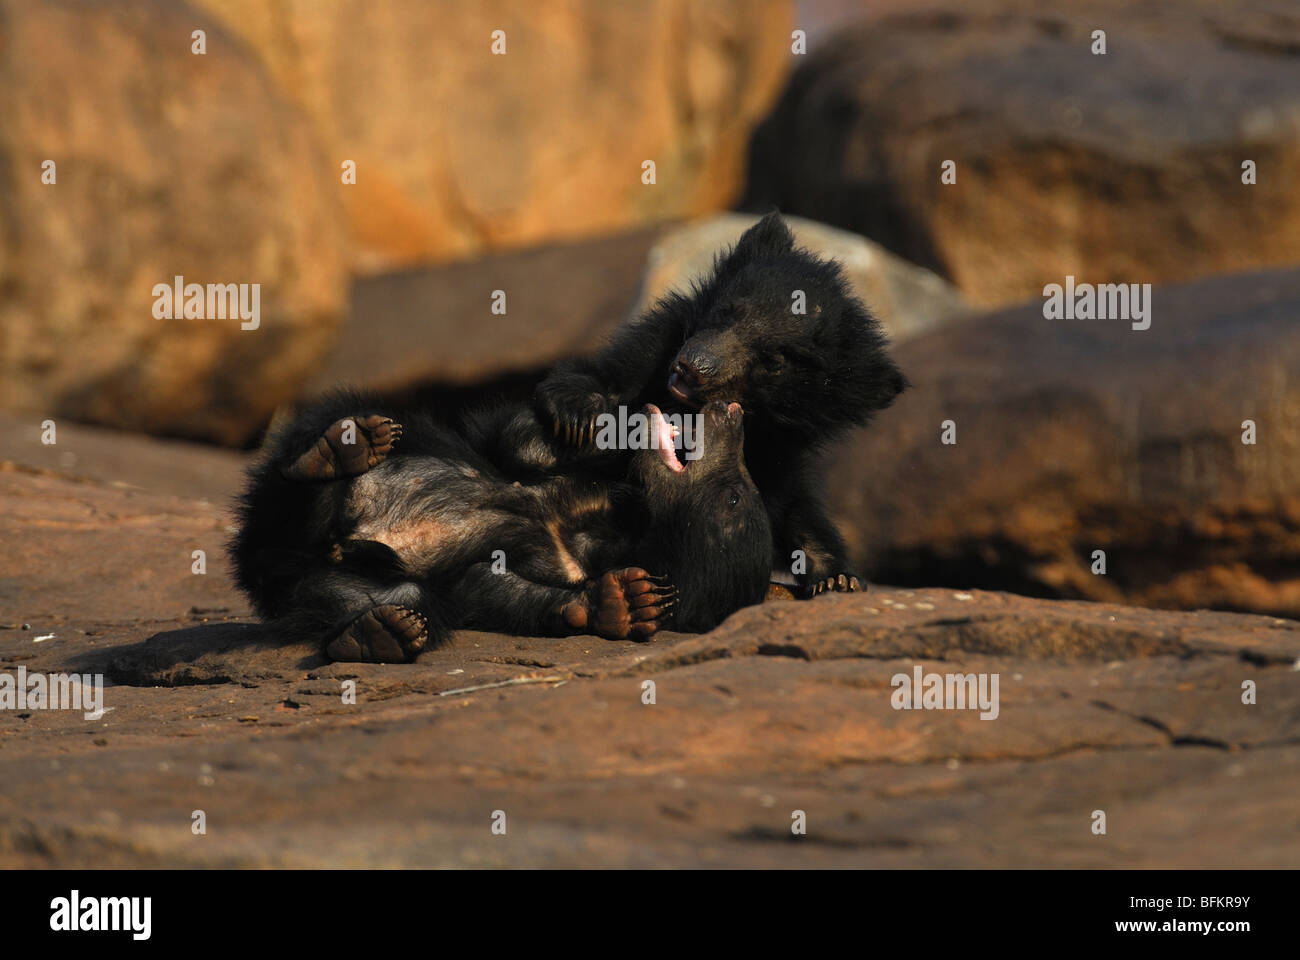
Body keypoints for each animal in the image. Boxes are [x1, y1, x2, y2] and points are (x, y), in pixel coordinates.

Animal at [229, 389, 772, 662]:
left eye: (734, 494)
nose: (732, 410)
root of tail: (265, 556)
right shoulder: (588, 488)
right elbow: (516, 444)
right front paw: (592, 417)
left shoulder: (560, 564)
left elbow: (492, 588)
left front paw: (625, 601)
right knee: (316, 453)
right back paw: (342, 447)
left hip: (322, 571)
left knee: (382, 597)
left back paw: (377, 635)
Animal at [533, 211, 908, 597]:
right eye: (729, 311)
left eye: (773, 362)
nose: (694, 367)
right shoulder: (658, 345)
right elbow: (609, 375)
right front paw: (578, 415)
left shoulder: (778, 452)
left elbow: (788, 505)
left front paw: (838, 578)